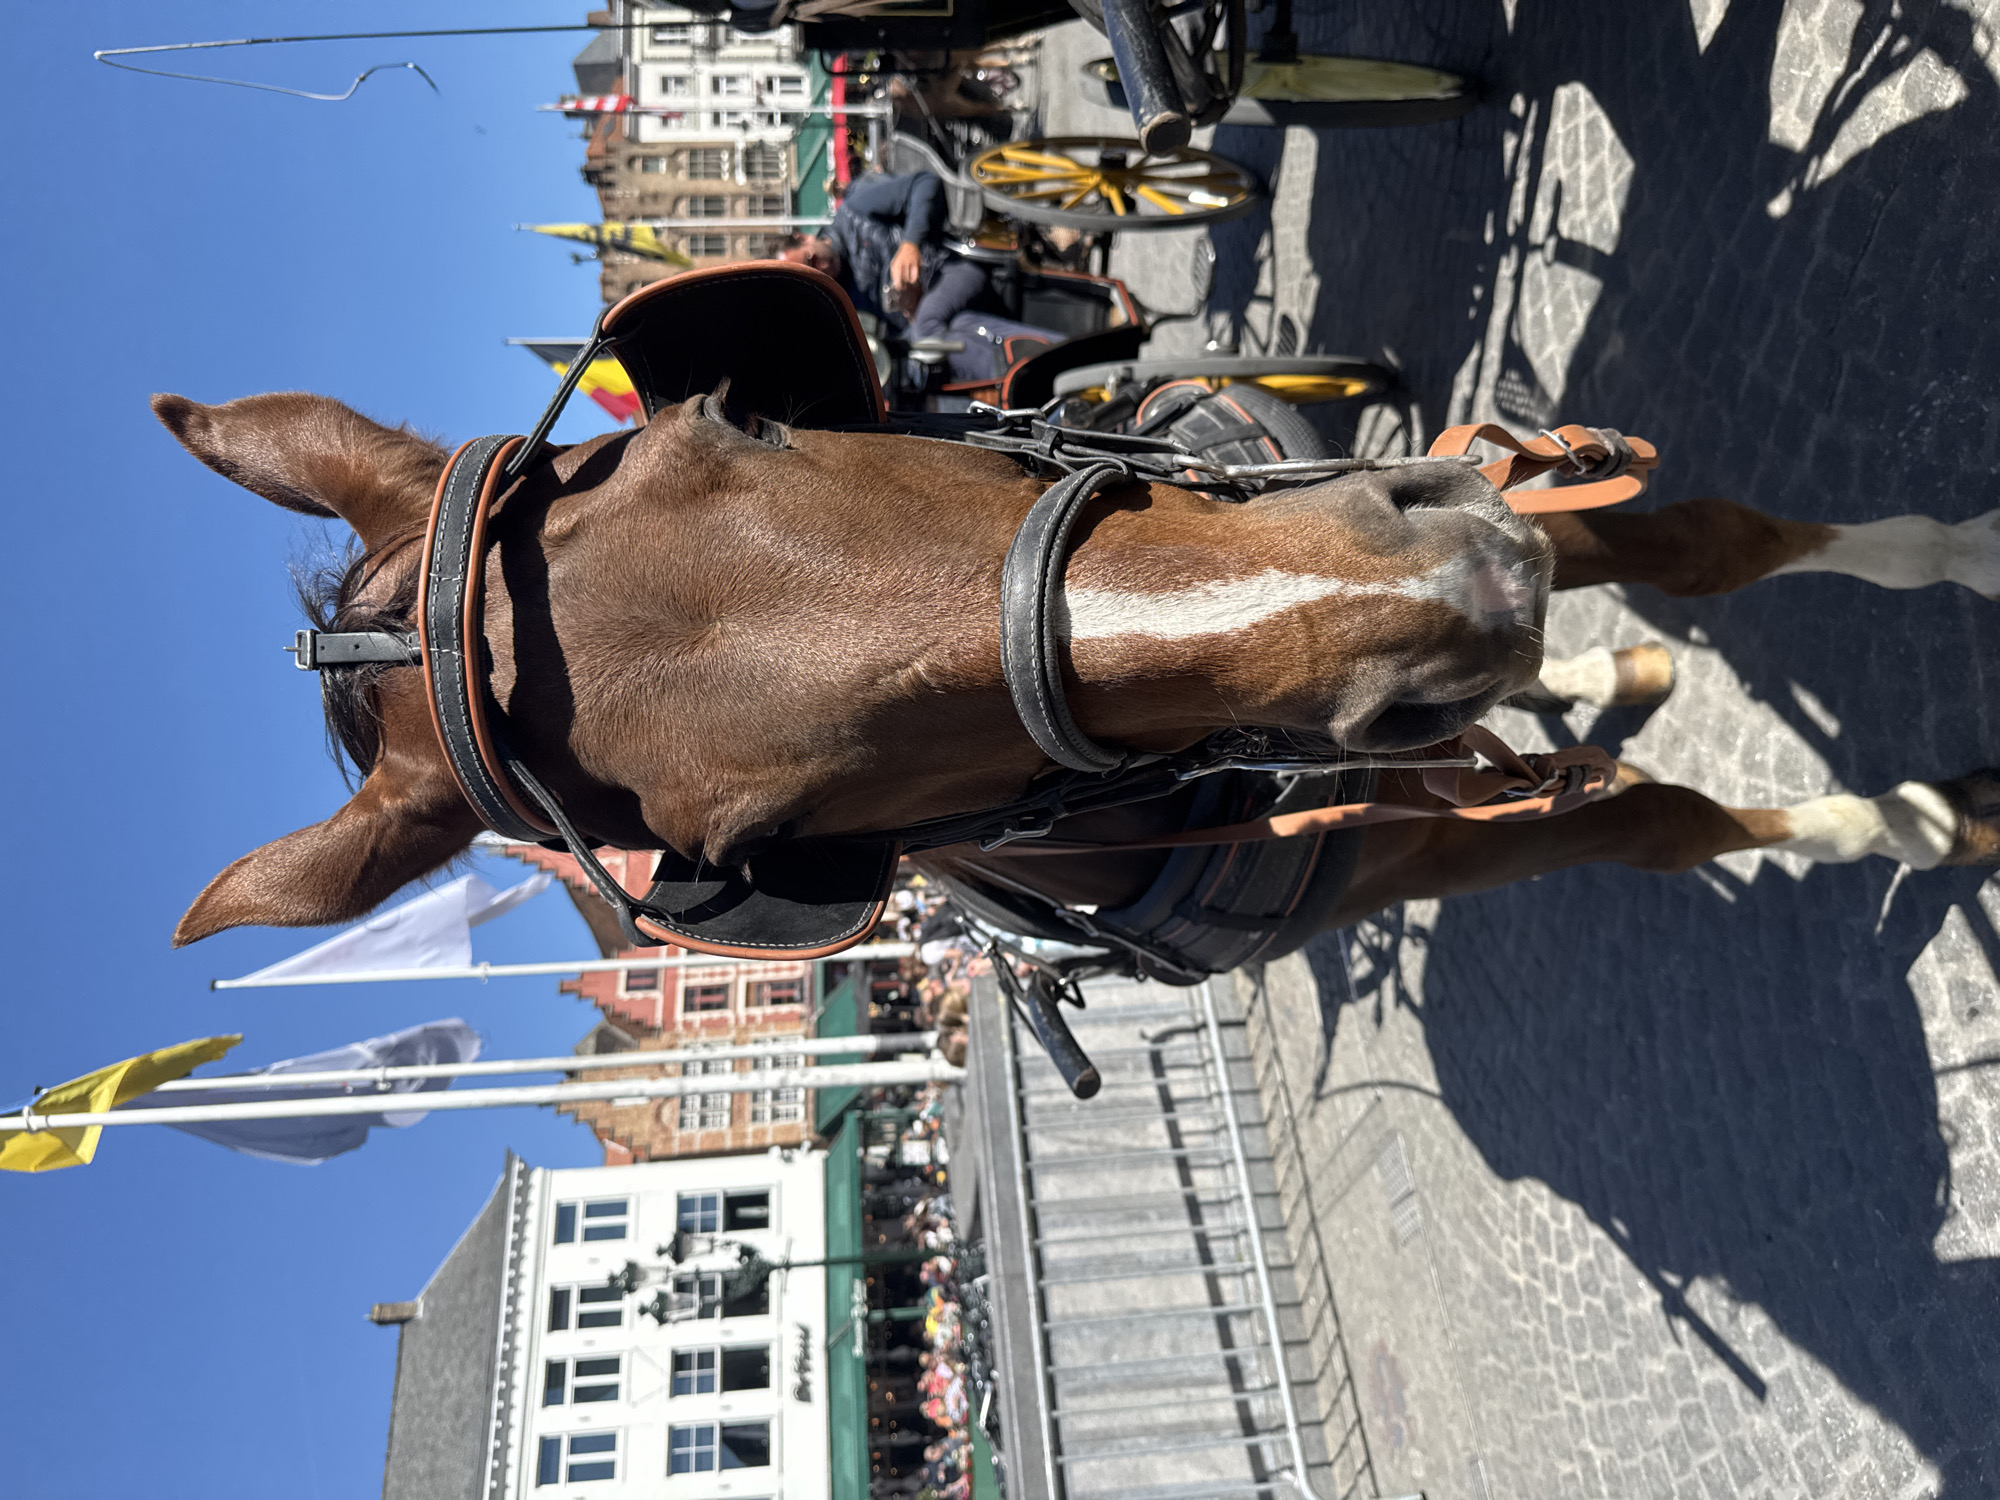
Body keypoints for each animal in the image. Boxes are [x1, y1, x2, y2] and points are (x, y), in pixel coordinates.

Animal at [147, 265, 2000, 995]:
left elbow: (1708, 542)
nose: (1440, 608)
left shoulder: (1394, 491)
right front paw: (1920, 817)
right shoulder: (1421, 827)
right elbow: (1666, 826)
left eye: (737, 419)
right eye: (774, 851)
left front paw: (1965, 551)